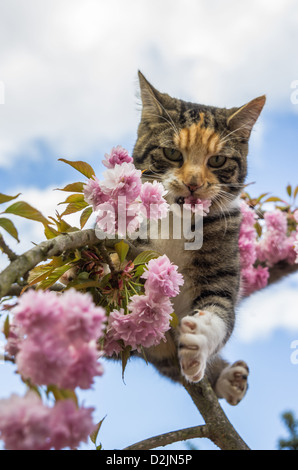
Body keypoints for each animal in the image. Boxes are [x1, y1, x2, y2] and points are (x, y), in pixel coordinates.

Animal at [131, 71, 266, 406]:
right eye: (172, 153)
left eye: (217, 160)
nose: (193, 183)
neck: (177, 224)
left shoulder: (224, 264)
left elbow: (220, 308)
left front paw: (199, 338)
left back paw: (228, 378)